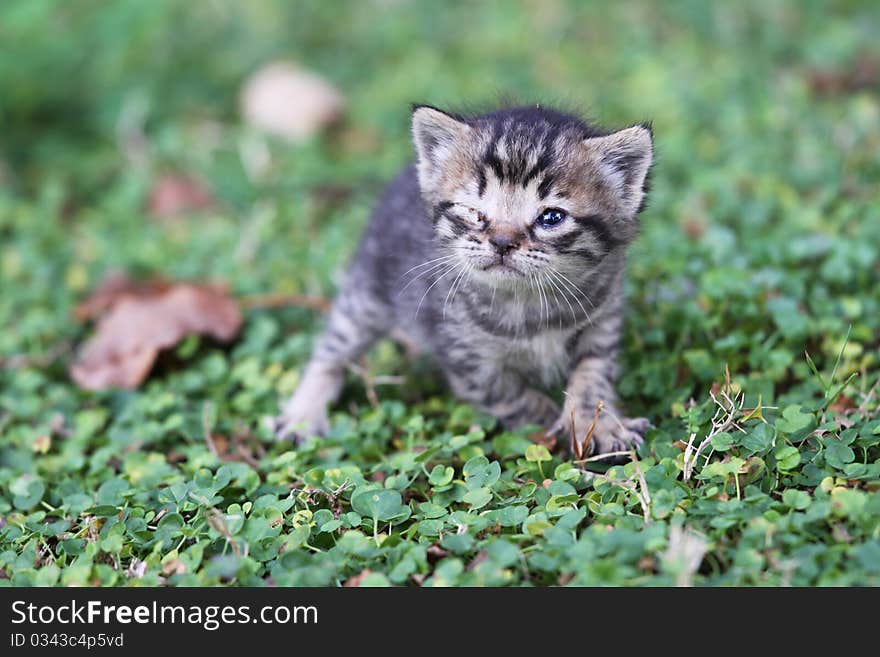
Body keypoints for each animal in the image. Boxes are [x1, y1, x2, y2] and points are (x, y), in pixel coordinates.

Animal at [274, 105, 652, 454]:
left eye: (551, 217)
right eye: (473, 211)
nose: (502, 242)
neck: (527, 301)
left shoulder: (602, 319)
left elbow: (593, 376)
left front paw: (598, 424)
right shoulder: (467, 358)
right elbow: (514, 398)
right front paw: (552, 427)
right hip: (368, 290)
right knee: (333, 346)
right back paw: (304, 413)